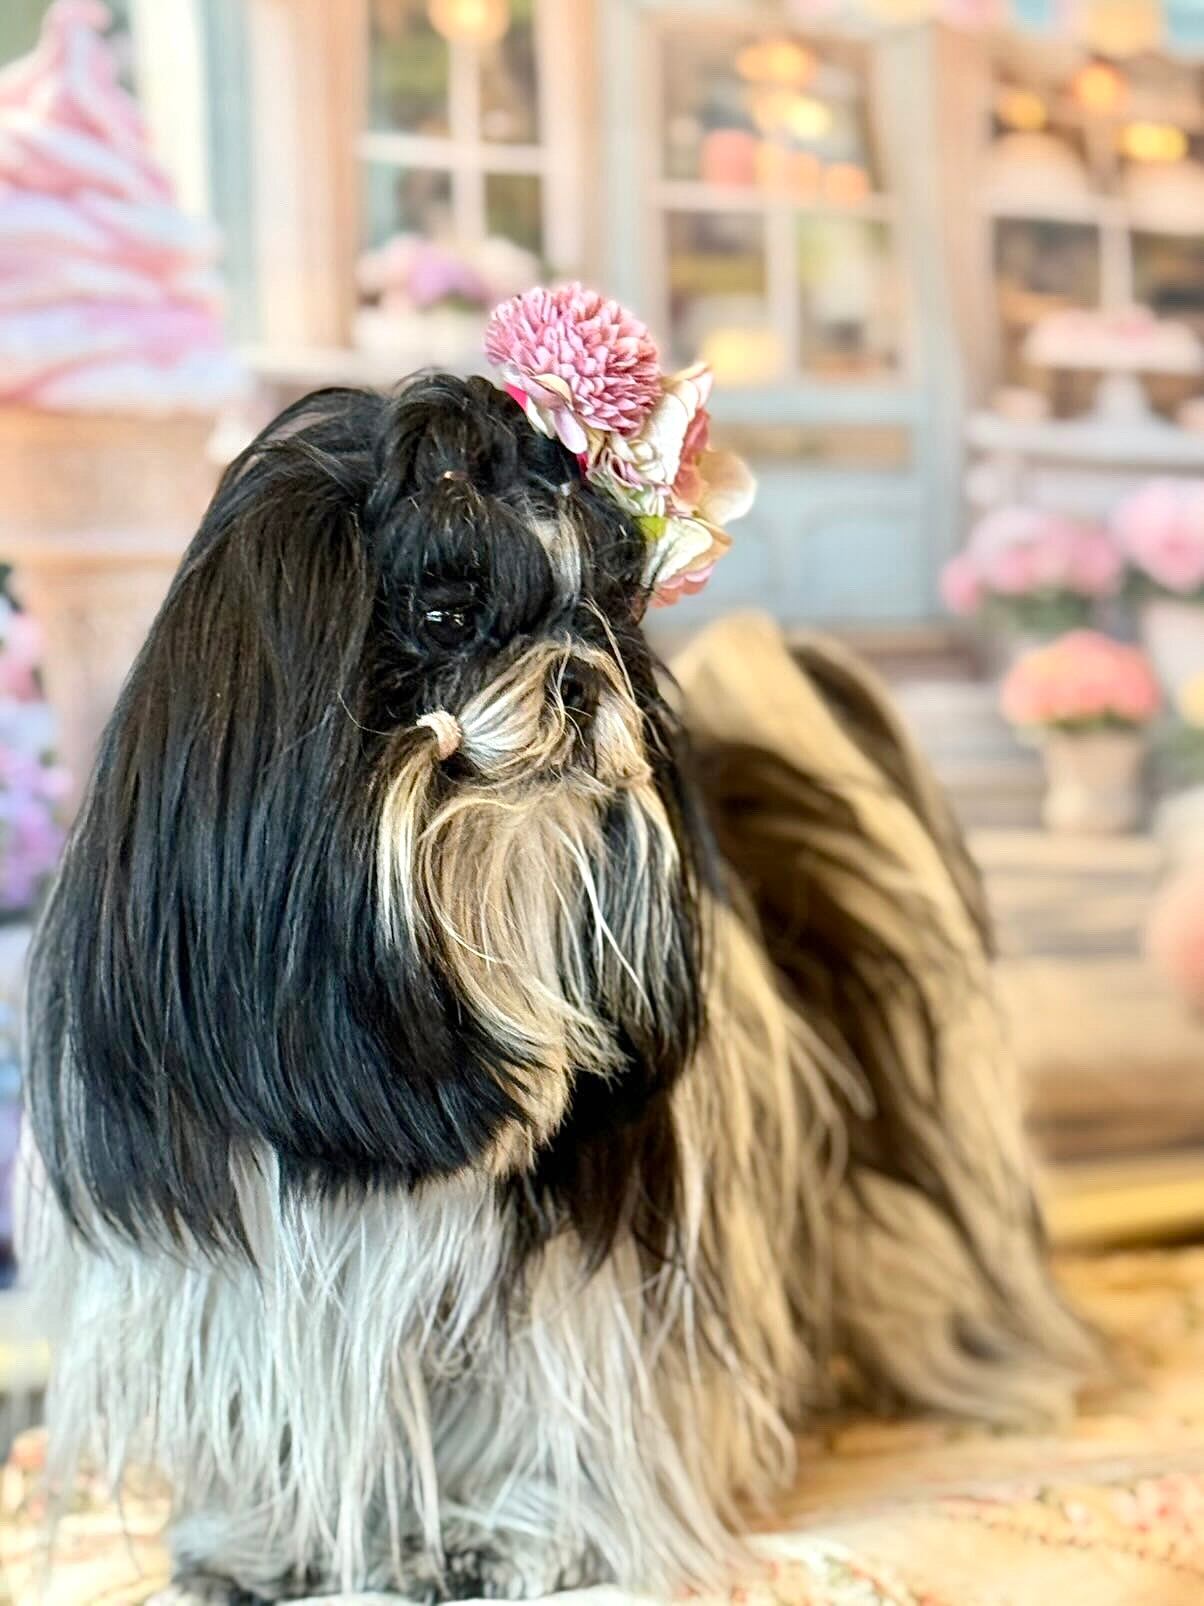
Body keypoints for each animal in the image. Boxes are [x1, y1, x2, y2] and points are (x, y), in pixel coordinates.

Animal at [22, 338, 1092, 1602]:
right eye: (445, 614)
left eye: (608, 623)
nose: (581, 676)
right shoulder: (251, 1243)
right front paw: (264, 1537)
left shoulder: (578, 1250)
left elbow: (550, 1391)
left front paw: (517, 1532)